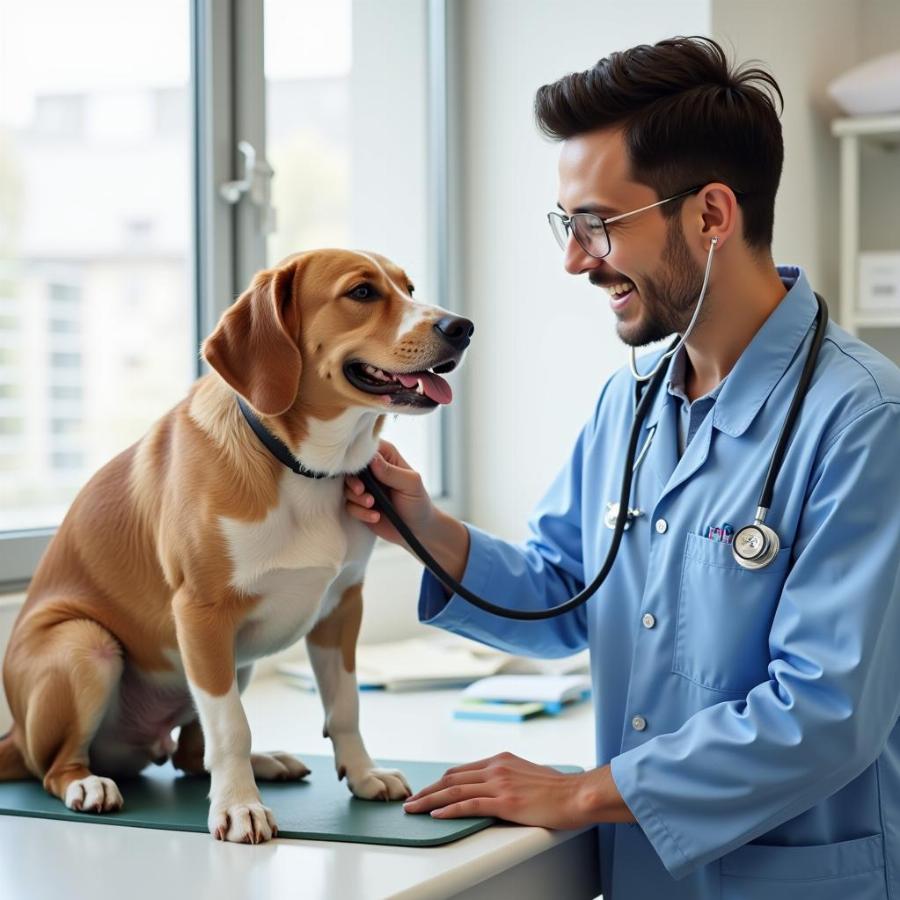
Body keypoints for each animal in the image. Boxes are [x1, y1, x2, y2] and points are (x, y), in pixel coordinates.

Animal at [0, 248, 474, 844]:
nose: (462, 327)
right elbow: (231, 727)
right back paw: (86, 785)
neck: (303, 467)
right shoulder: (201, 614)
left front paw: (363, 774)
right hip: (87, 644)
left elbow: (344, 705)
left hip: (238, 660)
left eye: (409, 288)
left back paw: (267, 763)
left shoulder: (343, 606)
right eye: (362, 292)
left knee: (189, 756)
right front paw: (238, 807)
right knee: (54, 766)